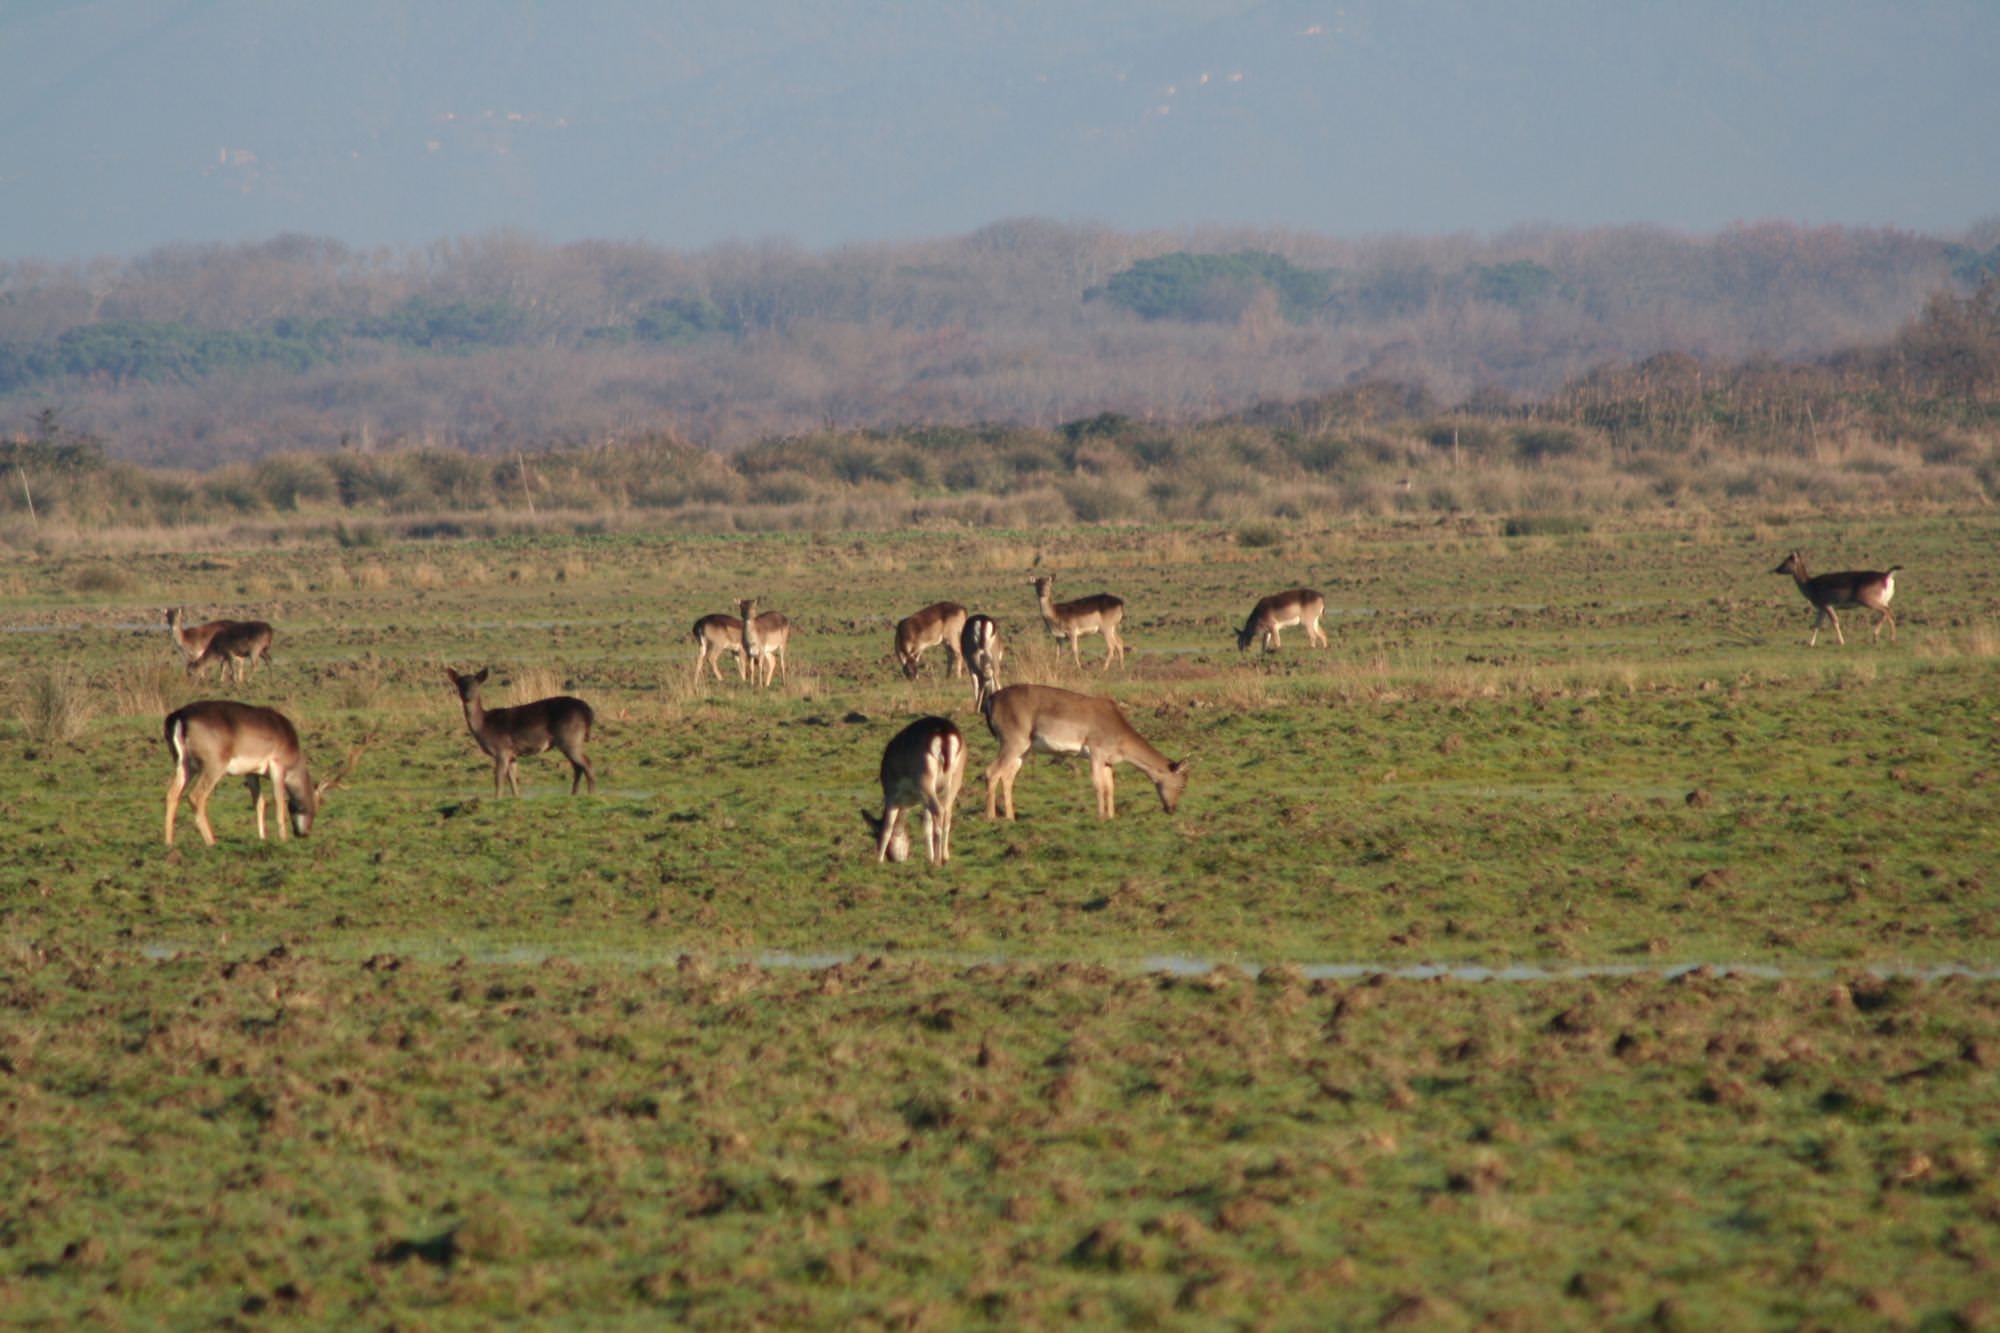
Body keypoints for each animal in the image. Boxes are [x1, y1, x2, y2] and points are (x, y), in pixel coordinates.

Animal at [163, 700, 368, 844]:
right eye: (316, 806)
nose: (303, 833)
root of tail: (179, 717)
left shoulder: (251, 773)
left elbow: (260, 802)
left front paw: (263, 838)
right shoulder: (277, 766)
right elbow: (279, 803)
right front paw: (283, 839)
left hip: (184, 765)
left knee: (172, 794)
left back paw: (169, 842)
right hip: (213, 766)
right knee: (196, 796)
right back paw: (211, 842)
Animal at [454, 660, 600, 792]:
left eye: (476, 685)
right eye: (460, 684)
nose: (467, 695)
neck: (483, 726)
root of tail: (587, 711)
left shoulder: (501, 749)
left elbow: (499, 779)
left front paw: (497, 799)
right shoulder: (511, 754)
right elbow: (513, 779)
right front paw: (516, 798)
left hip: (569, 737)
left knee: (587, 764)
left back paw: (591, 794)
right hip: (571, 740)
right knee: (578, 767)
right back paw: (574, 794)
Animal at [860, 716, 968, 860]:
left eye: (875, 836)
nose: (893, 859)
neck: (908, 799)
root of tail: (944, 733)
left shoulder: (891, 794)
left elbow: (887, 827)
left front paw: (879, 860)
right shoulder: (923, 798)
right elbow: (927, 825)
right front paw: (929, 857)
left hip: (924, 778)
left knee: (938, 810)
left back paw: (938, 860)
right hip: (956, 776)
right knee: (946, 811)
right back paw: (945, 856)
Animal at [980, 684, 1184, 820]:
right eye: (1182, 785)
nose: (1172, 809)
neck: (1120, 737)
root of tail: (990, 701)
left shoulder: (1107, 760)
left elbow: (1110, 786)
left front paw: (1111, 816)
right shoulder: (1096, 751)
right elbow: (1098, 784)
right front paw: (1101, 816)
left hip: (1024, 749)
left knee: (1007, 776)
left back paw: (1010, 817)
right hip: (1013, 740)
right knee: (991, 771)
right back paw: (991, 817)